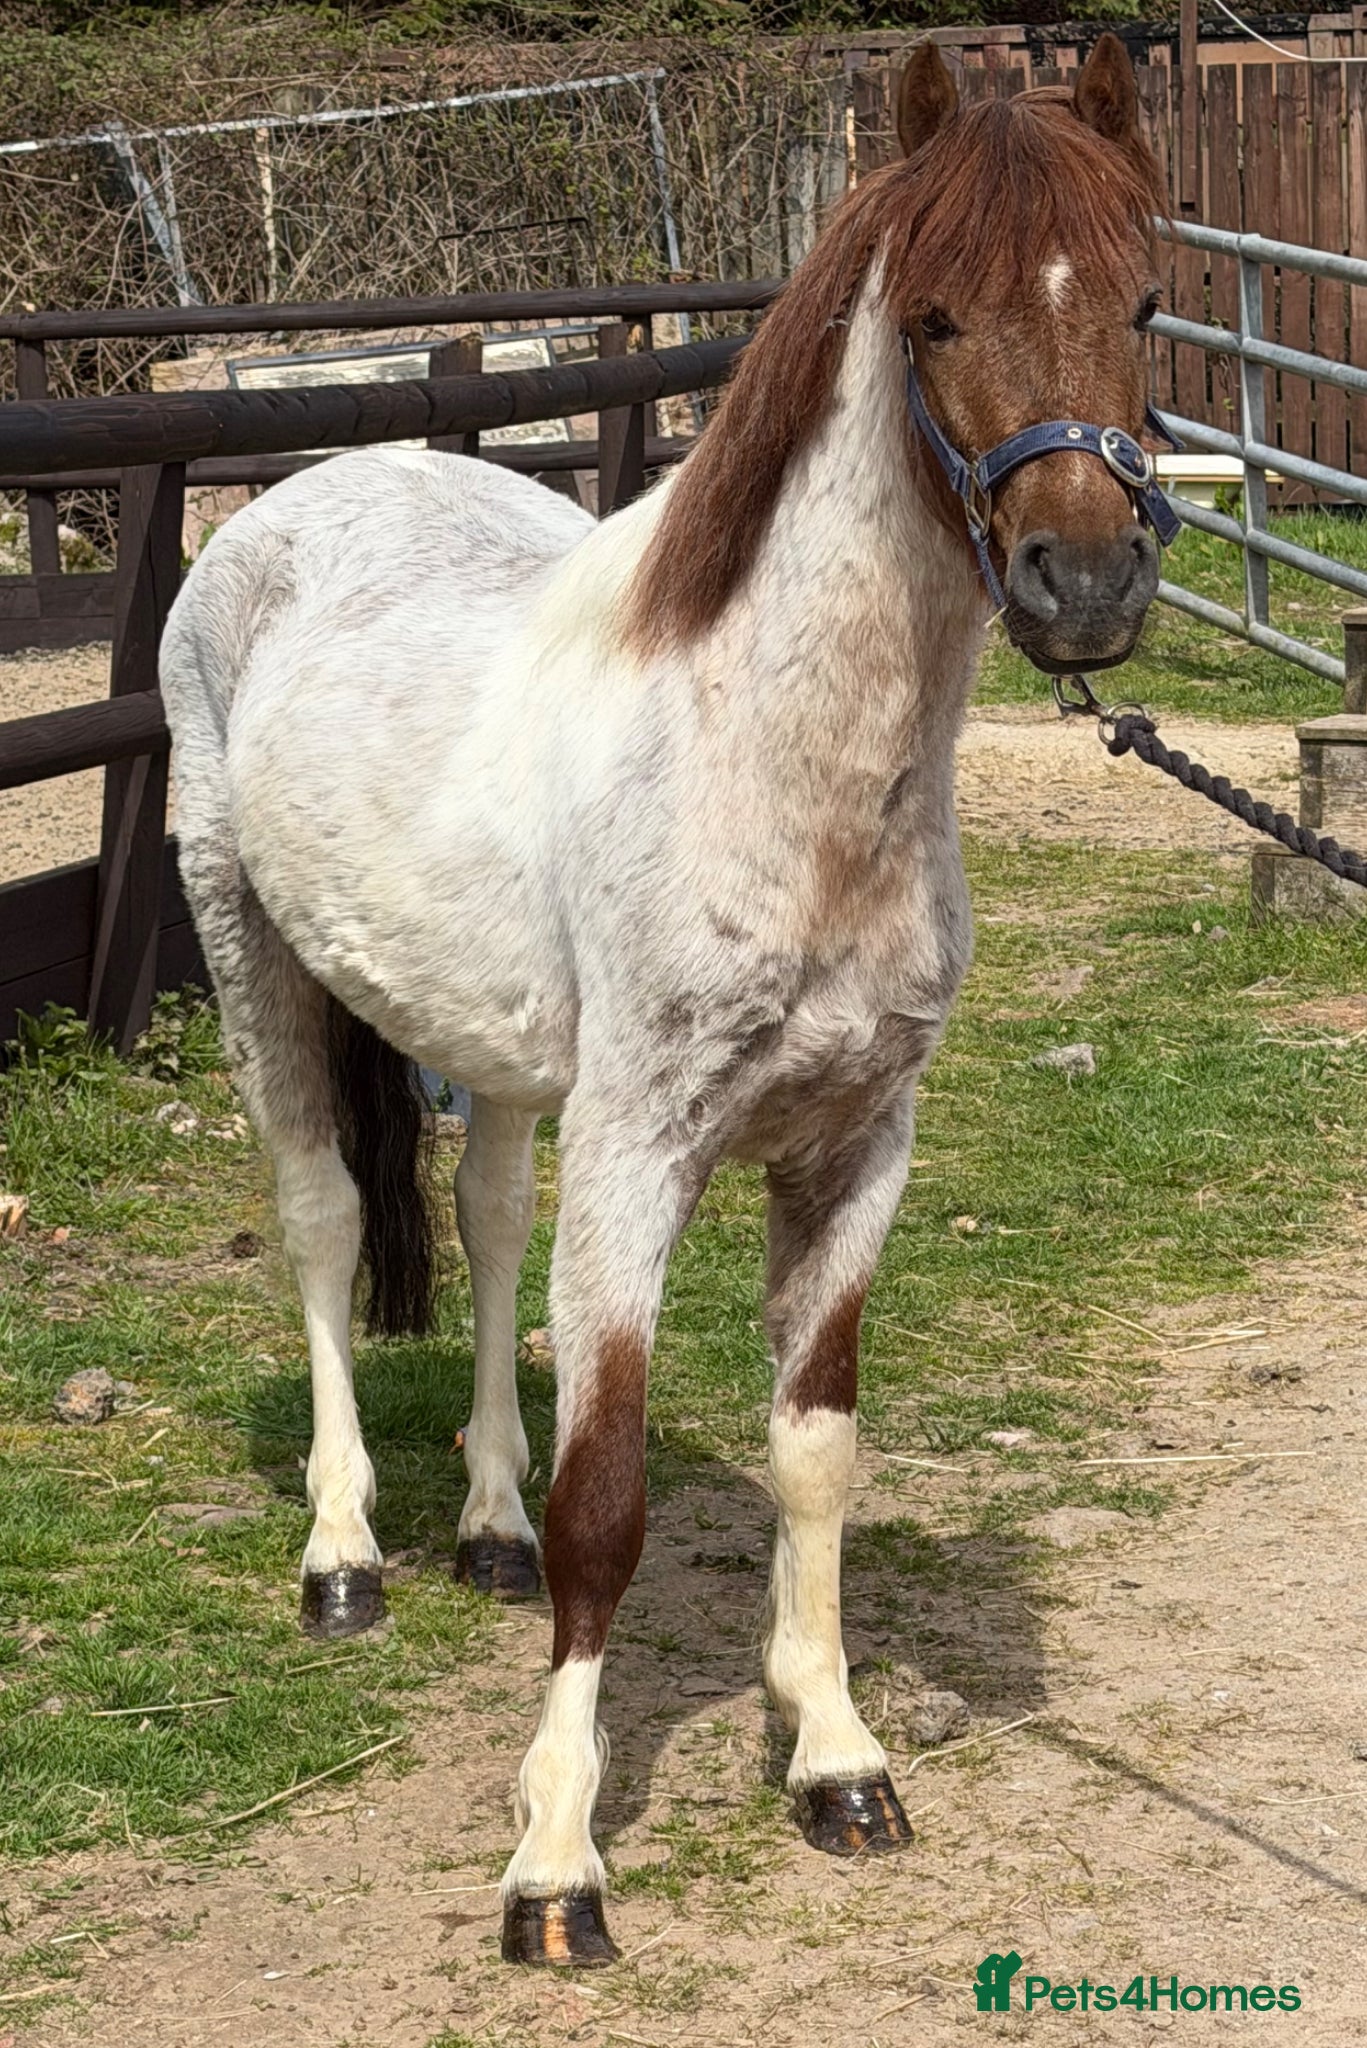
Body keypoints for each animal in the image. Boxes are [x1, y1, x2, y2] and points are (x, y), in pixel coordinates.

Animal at [160, 34, 1170, 1968]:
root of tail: (303, 493)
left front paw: (834, 1757)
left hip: (488, 1046)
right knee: (323, 1222)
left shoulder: (855, 1150)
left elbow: (814, 1452)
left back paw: (476, 1522)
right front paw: (555, 1865)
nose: (1083, 585)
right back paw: (343, 1557)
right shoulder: (642, 1153)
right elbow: (609, 1504)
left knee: (483, 1222)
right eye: (932, 314)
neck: (775, 768)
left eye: (1147, 300)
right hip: (255, 957)